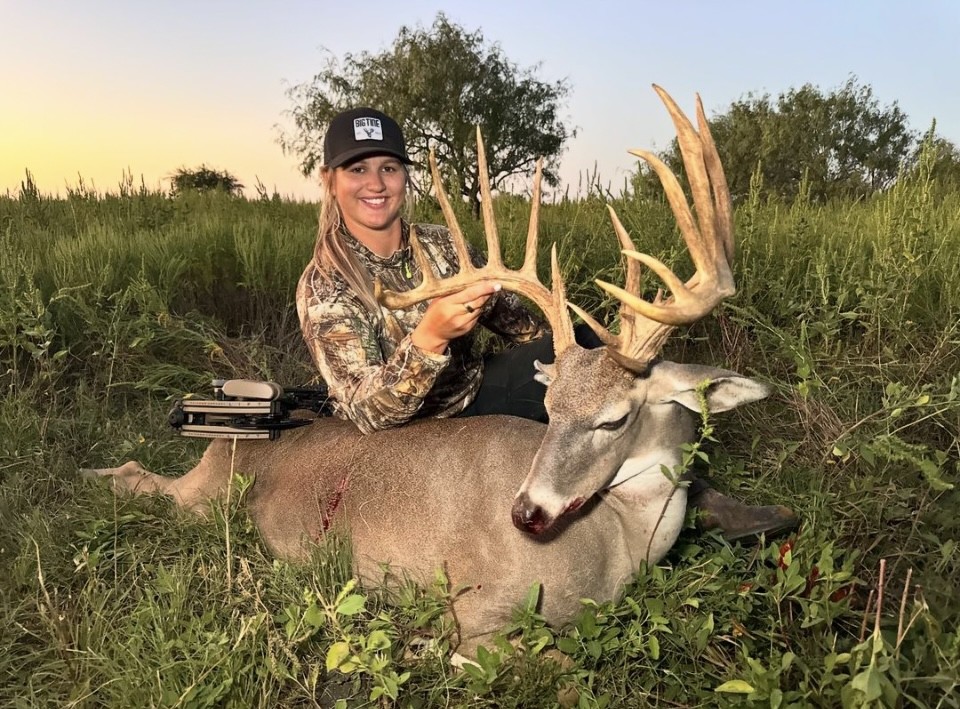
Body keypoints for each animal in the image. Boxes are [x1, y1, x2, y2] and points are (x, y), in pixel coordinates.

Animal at [84, 86, 771, 661]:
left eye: (615, 419)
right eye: (551, 411)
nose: (526, 513)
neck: (620, 540)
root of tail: (231, 435)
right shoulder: (477, 615)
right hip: (206, 498)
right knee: (140, 476)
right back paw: (93, 477)